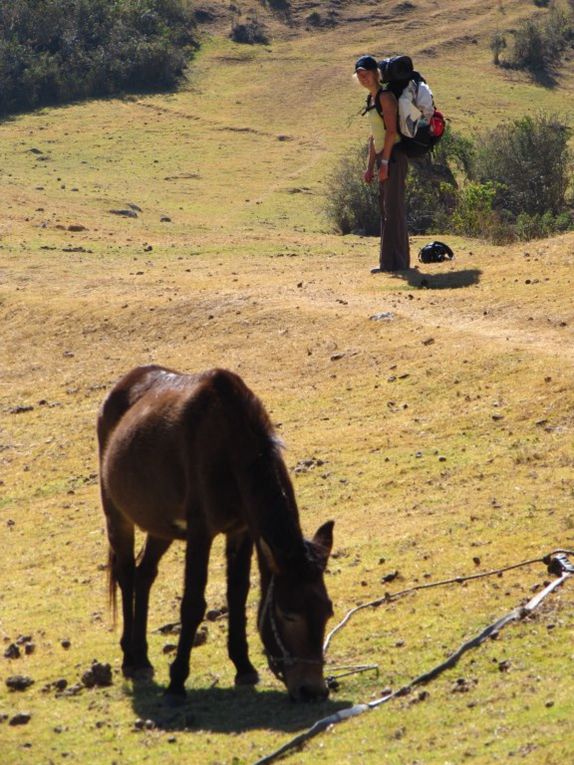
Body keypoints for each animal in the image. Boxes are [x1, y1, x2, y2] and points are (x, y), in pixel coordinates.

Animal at [97, 368, 336, 700]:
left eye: (327, 612)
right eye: (288, 614)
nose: (313, 690)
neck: (232, 445)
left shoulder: (242, 530)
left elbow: (237, 593)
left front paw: (243, 666)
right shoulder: (201, 532)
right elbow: (193, 604)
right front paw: (177, 681)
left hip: (161, 527)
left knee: (144, 574)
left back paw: (142, 656)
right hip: (118, 517)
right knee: (126, 575)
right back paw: (131, 658)